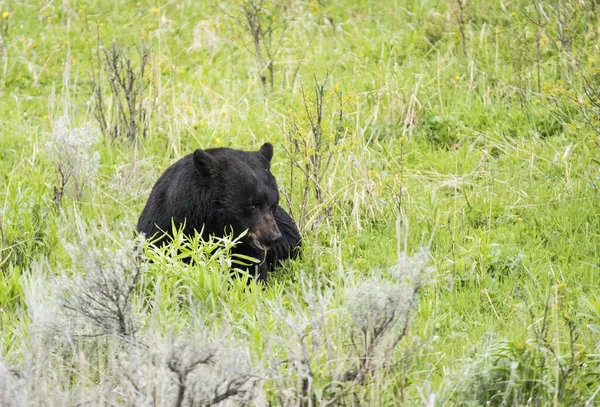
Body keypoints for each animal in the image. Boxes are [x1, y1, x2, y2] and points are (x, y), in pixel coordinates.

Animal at [138, 143, 302, 280]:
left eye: (273, 205)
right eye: (253, 206)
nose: (273, 237)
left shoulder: (245, 246)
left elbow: (249, 270)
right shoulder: (164, 228)